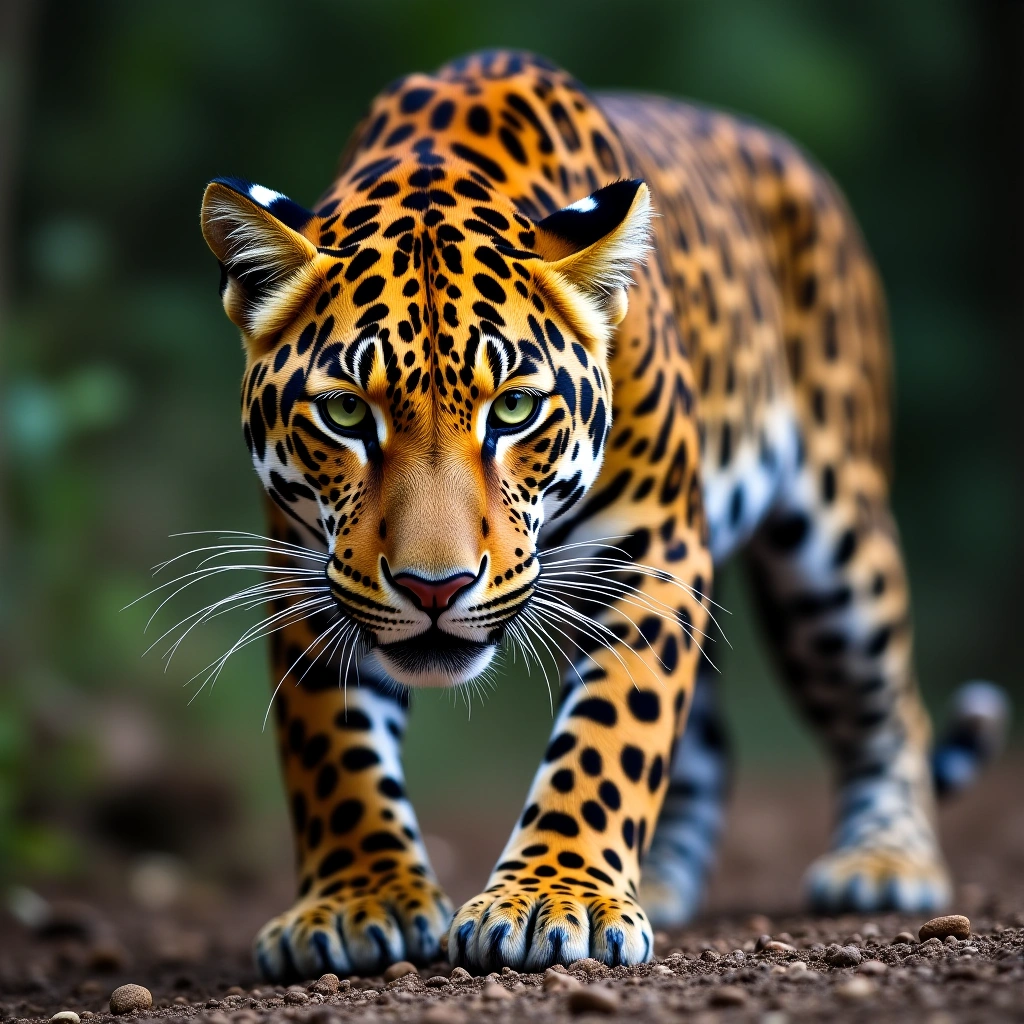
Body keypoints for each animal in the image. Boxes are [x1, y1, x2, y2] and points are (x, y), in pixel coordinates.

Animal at [193, 50, 1006, 979]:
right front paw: (362, 900)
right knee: (712, 747)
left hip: (835, 547)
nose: (435, 589)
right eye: (345, 413)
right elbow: (331, 745)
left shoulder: (655, 549)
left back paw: (884, 860)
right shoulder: (310, 567)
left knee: (890, 703)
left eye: (514, 409)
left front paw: (555, 898)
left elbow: (613, 733)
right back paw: (664, 879)